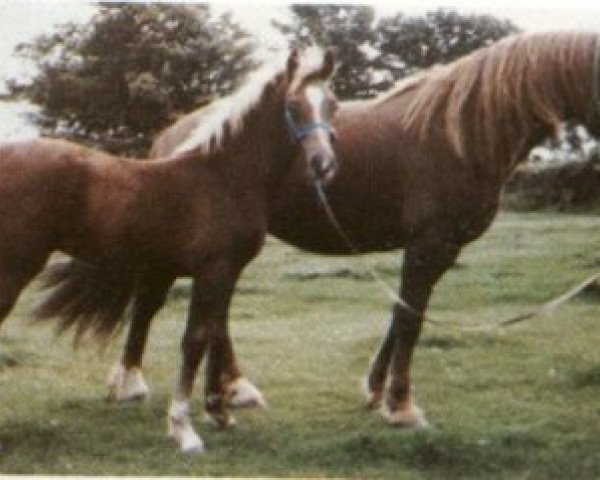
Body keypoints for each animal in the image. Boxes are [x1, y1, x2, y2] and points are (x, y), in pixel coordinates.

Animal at [0, 47, 338, 452]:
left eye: (332, 104)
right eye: (293, 104)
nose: (324, 164)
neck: (223, 177)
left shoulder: (225, 273)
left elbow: (214, 331)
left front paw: (220, 413)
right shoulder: (213, 271)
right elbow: (195, 340)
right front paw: (183, 429)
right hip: (15, 266)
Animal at [110, 32, 600, 432]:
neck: (461, 133)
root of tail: (174, 134)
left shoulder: (439, 249)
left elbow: (403, 312)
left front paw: (377, 391)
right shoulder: (430, 243)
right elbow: (411, 318)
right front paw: (402, 407)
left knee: (216, 314)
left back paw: (235, 389)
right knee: (153, 303)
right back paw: (132, 381)